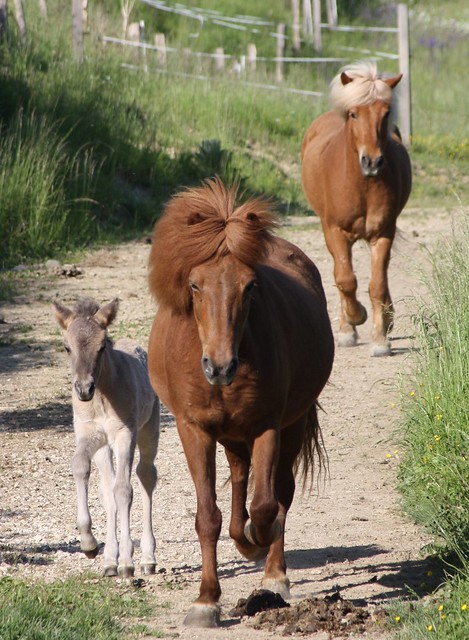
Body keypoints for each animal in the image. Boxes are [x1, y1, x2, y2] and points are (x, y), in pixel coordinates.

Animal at [146, 178, 332, 628]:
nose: (220, 366)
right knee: (239, 476)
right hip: (230, 435)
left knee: (280, 492)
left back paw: (272, 572)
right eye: (194, 285)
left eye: (250, 287)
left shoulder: (268, 425)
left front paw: (256, 545)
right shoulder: (194, 430)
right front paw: (205, 601)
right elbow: (208, 517)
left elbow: (266, 506)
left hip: (291, 424)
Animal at [302, 60, 412, 358]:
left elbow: (377, 284)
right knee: (341, 277)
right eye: (353, 114)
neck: (361, 184)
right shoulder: (336, 232)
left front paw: (380, 338)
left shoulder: (383, 232)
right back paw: (347, 328)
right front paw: (355, 319)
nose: (372, 161)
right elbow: (346, 280)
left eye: (386, 113)